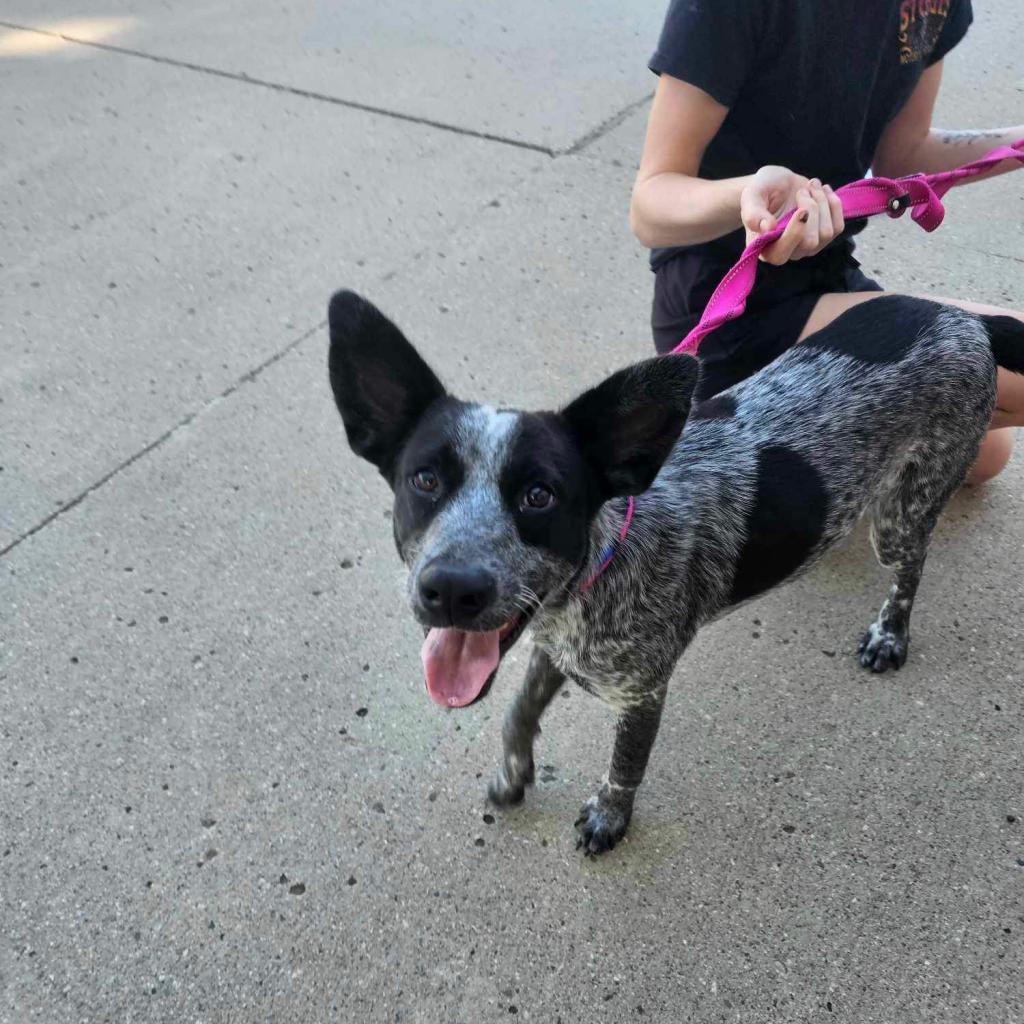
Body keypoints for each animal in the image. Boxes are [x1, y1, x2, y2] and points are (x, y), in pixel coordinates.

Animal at [327, 290, 1024, 856]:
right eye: (425, 479)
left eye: (539, 496)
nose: (450, 589)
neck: (606, 556)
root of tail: (967, 319)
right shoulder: (553, 645)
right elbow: (518, 712)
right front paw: (513, 773)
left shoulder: (642, 691)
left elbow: (624, 764)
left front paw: (609, 818)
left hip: (902, 514)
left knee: (911, 568)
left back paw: (890, 633)